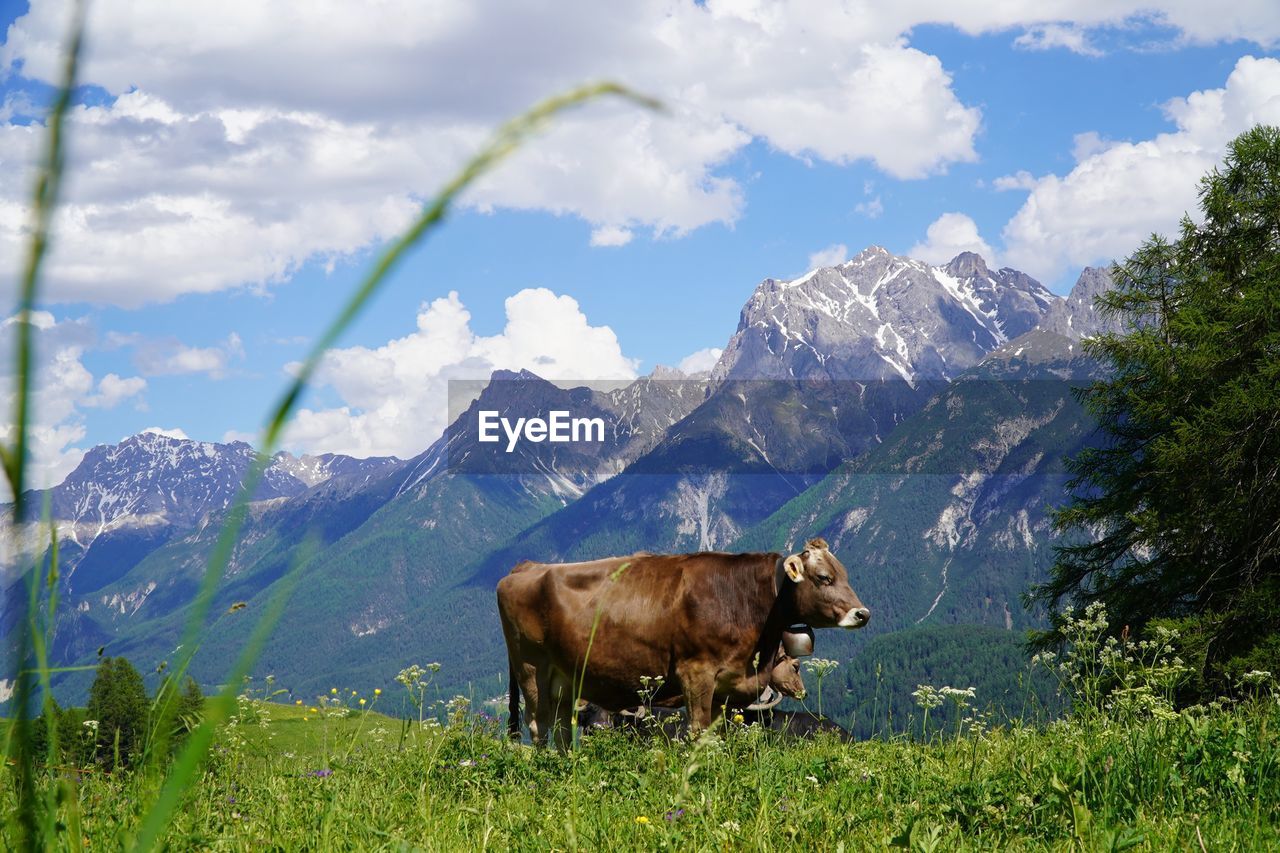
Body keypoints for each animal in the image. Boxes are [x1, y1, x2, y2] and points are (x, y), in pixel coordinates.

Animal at [491, 537, 870, 742]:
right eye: (823, 577)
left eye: (845, 574)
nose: (862, 613)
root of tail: (526, 567)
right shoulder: (696, 674)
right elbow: (698, 731)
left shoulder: (724, 687)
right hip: (531, 669)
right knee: (539, 726)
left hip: (564, 679)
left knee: (562, 728)